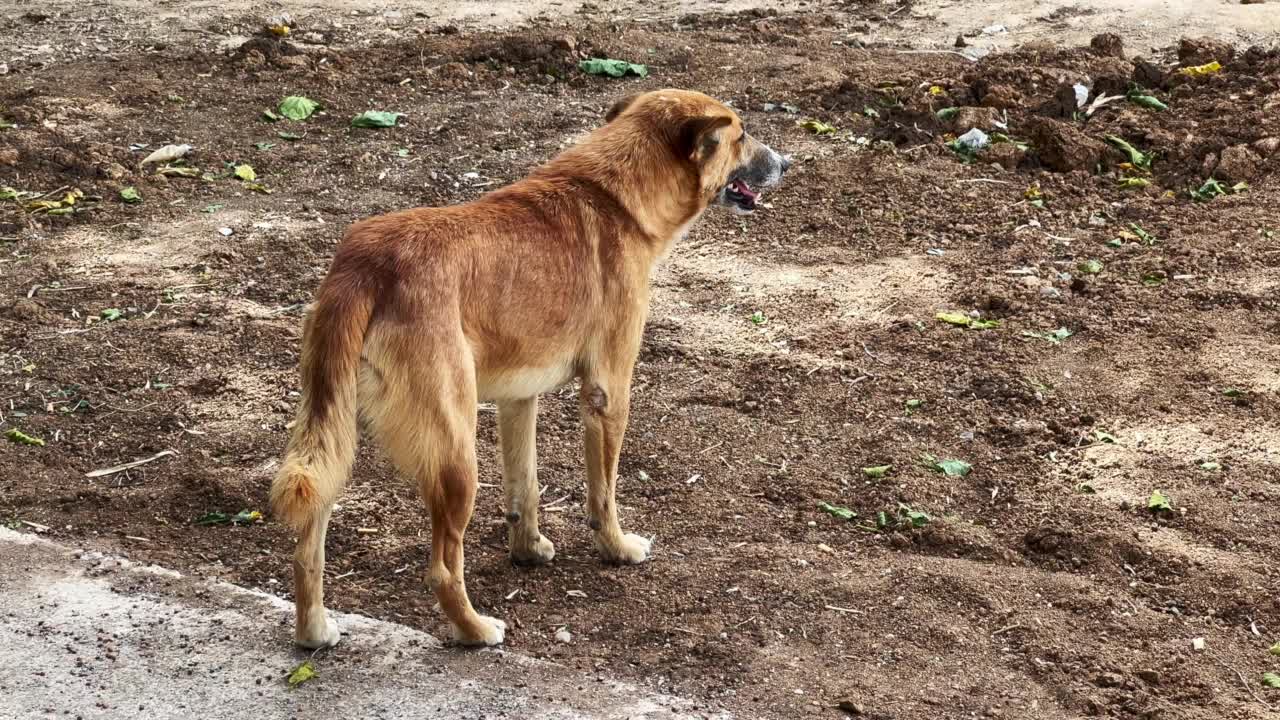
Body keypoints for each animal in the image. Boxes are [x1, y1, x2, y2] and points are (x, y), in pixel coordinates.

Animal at [275, 89, 783, 645]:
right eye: (742, 135)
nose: (786, 162)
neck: (615, 196)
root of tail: (365, 266)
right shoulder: (608, 392)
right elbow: (603, 493)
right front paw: (617, 549)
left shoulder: (518, 398)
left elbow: (527, 484)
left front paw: (528, 549)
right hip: (455, 456)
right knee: (443, 567)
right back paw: (476, 630)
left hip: (333, 436)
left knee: (308, 541)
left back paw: (314, 630)